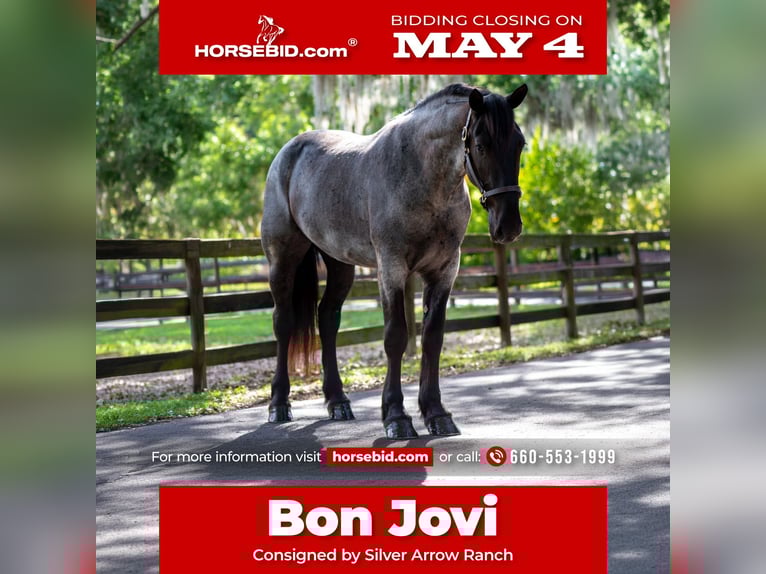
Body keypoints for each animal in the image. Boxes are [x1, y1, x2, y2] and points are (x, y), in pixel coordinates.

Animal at [260, 83, 528, 439]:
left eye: (519, 143)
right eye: (482, 145)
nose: (508, 226)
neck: (422, 176)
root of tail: (287, 153)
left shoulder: (444, 271)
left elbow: (432, 338)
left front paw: (436, 413)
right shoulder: (392, 268)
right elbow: (396, 337)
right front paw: (396, 417)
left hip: (340, 264)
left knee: (328, 319)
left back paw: (338, 402)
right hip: (283, 258)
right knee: (283, 322)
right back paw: (278, 404)